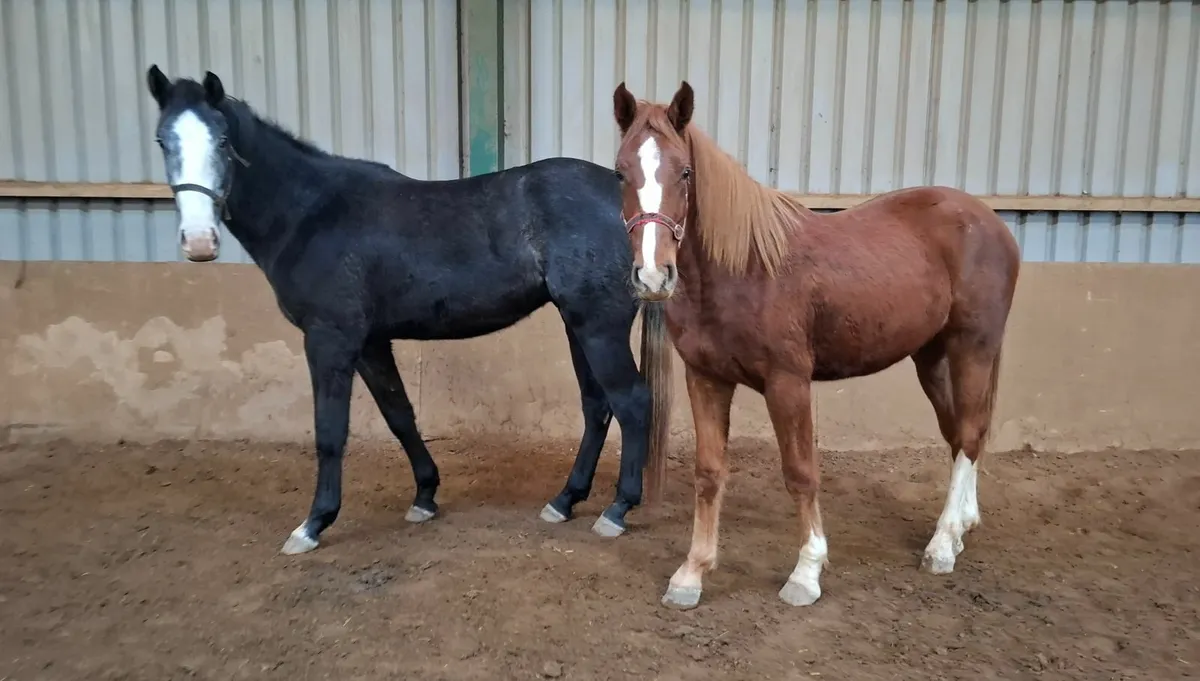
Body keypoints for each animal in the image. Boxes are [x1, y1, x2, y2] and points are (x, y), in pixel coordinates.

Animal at [142, 65, 675, 555]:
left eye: (222, 140)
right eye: (162, 140)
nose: (198, 242)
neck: (311, 214)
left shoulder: (330, 339)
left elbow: (330, 431)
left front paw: (313, 524)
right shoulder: (370, 342)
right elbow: (400, 414)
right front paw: (425, 496)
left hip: (598, 326)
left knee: (631, 402)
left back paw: (617, 509)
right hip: (578, 323)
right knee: (597, 406)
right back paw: (564, 500)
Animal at [611, 81, 1021, 609]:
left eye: (684, 171)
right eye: (621, 172)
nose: (653, 276)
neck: (744, 268)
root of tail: (989, 221)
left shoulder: (788, 382)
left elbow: (800, 472)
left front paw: (806, 573)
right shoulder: (706, 378)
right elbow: (709, 472)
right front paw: (691, 574)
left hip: (973, 348)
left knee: (969, 434)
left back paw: (943, 544)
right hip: (931, 357)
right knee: (959, 435)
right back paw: (964, 525)